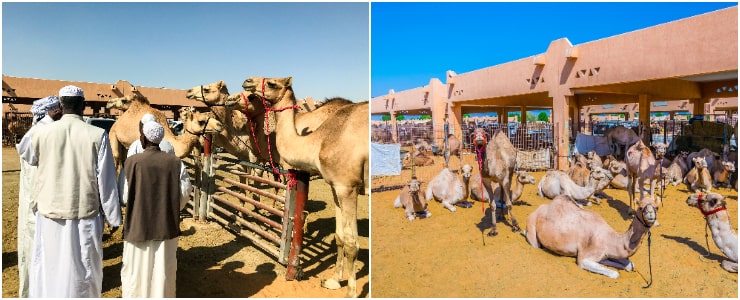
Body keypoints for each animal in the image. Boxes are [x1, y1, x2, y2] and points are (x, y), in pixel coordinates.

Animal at [243, 75, 370, 298]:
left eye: (273, 83)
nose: (247, 81)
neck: (320, 140)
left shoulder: (347, 187)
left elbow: (352, 243)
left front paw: (351, 292)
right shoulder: (335, 187)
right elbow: (340, 237)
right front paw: (333, 281)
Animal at [528, 195, 660, 278]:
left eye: (657, 207)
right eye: (640, 207)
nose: (650, 215)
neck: (609, 239)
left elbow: (630, 265)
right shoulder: (584, 258)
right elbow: (615, 274)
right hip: (532, 223)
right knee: (534, 243)